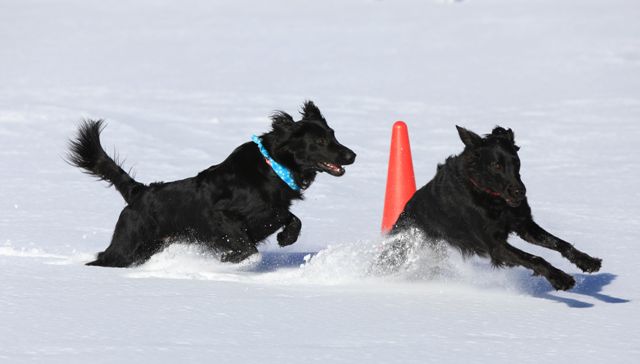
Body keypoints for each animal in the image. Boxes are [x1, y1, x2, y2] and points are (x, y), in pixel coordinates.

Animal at [71, 101, 360, 266]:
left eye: (333, 134)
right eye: (320, 141)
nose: (352, 155)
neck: (273, 169)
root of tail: (138, 192)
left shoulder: (275, 210)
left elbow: (292, 218)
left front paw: (286, 239)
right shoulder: (221, 215)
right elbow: (247, 246)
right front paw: (230, 258)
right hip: (128, 245)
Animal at [376, 125, 600, 290]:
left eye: (516, 162)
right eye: (496, 165)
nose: (520, 192)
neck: (487, 193)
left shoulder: (523, 224)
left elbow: (560, 243)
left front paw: (587, 261)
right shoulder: (495, 245)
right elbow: (536, 258)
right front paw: (561, 279)